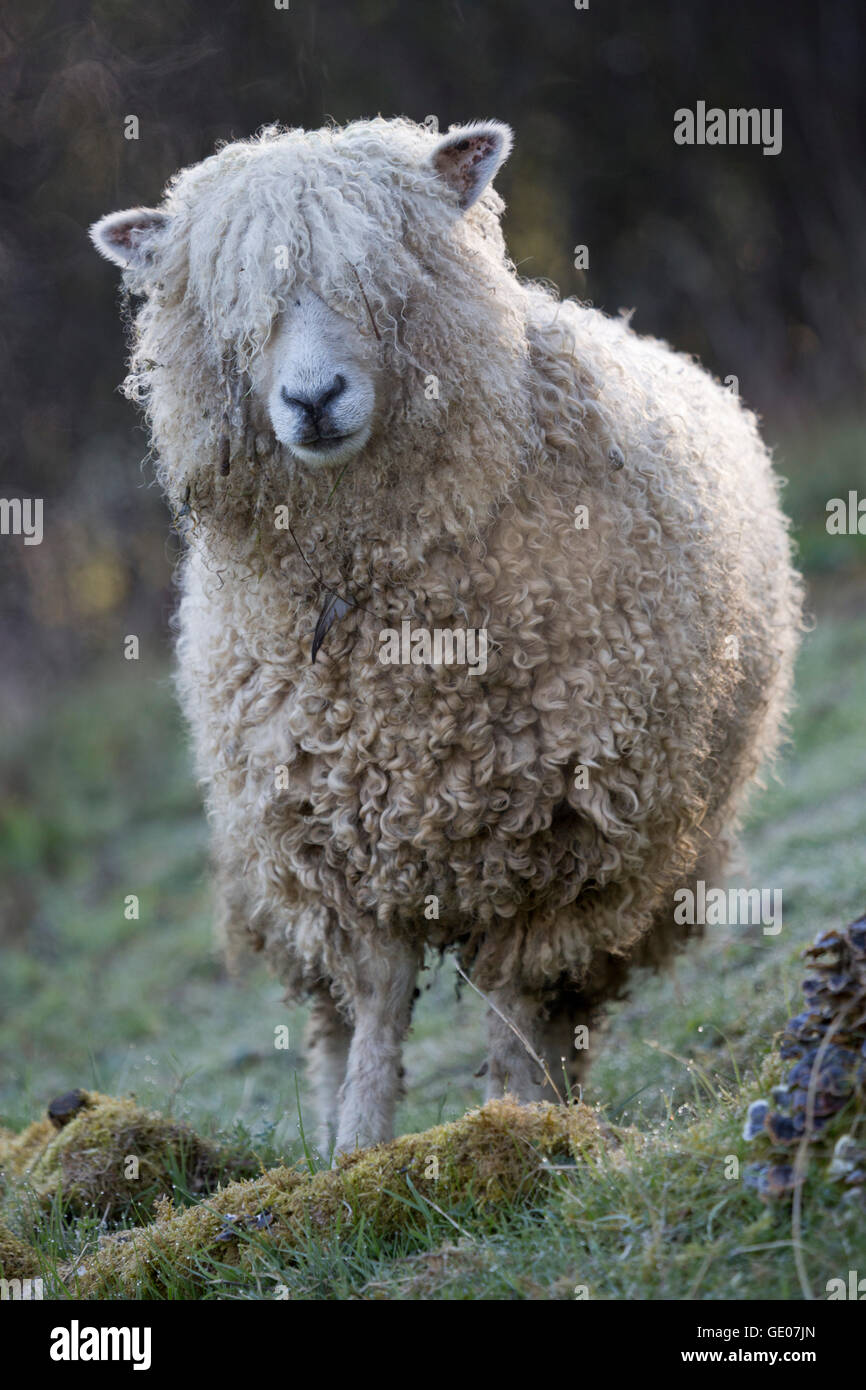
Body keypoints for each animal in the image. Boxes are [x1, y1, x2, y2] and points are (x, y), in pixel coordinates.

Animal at [91, 116, 800, 1150]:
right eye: (236, 309)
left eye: (387, 280)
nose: (312, 399)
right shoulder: (334, 843)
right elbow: (377, 1005)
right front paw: (356, 1152)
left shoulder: (562, 843)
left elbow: (514, 1001)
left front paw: (518, 1125)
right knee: (331, 1023)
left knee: (567, 1005)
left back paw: (558, 1100)